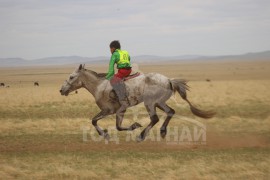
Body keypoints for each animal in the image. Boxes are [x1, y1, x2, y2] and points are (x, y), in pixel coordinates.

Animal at [59, 64, 215, 141]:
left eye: (71, 77)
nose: (61, 90)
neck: (99, 86)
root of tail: (169, 80)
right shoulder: (120, 111)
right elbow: (117, 126)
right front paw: (130, 127)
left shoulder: (108, 110)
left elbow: (94, 121)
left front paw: (106, 134)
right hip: (159, 102)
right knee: (170, 112)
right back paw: (162, 131)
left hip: (150, 103)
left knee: (155, 118)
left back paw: (141, 136)